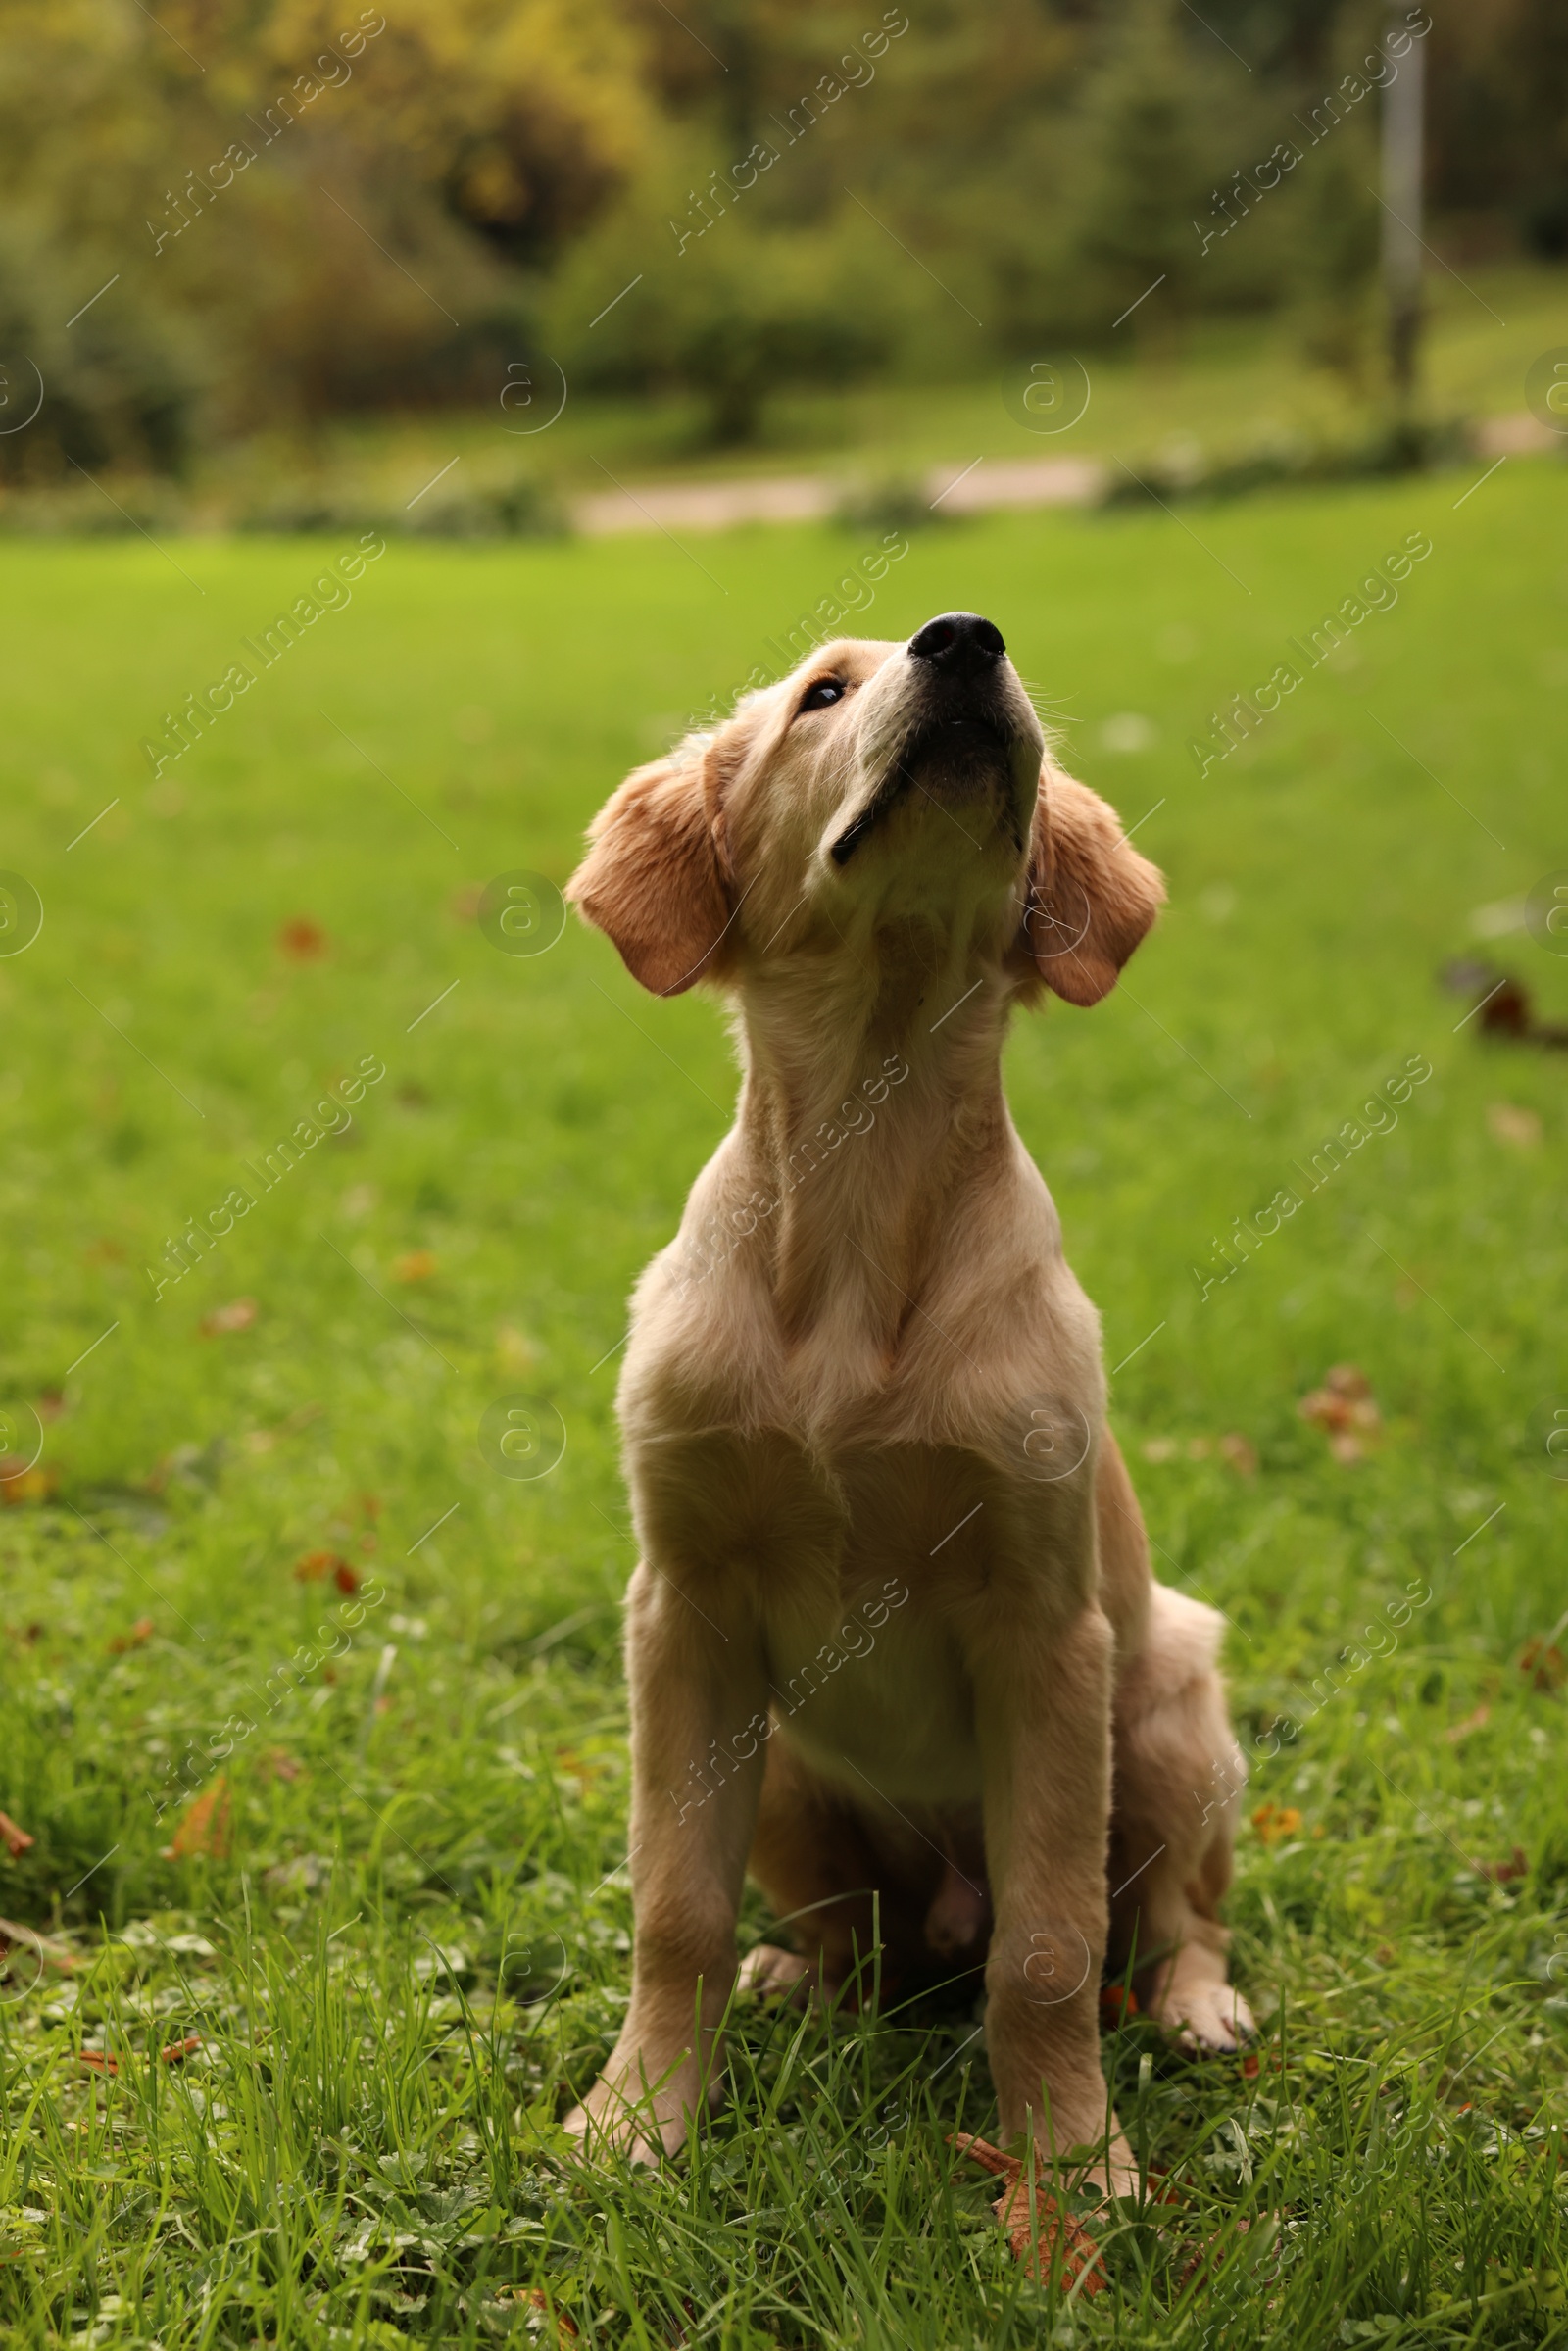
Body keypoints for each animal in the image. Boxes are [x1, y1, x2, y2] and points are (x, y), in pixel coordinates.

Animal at [562, 611, 1250, 2181]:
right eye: (823, 692)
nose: (966, 639)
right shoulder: (681, 1609)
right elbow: (673, 1908)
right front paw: (636, 2120)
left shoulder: (1046, 1632)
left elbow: (1048, 1950)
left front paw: (1071, 2171)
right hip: (788, 1773)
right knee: (852, 1940)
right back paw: (798, 1976)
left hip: (1170, 1713)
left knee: (1169, 1917)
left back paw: (1197, 2006)